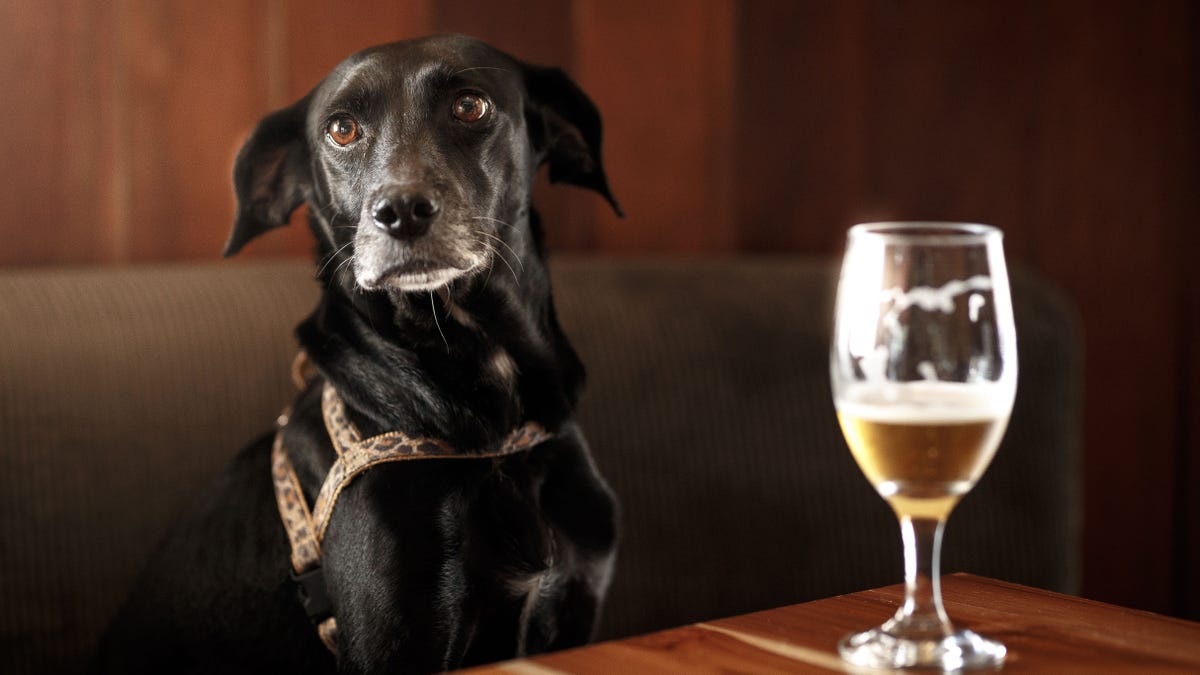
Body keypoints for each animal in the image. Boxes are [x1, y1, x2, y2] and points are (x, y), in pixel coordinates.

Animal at [97, 34, 619, 667]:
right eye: (341, 129)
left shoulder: (571, 609)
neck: (494, 438)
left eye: (470, 106)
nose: (400, 212)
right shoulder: (396, 641)